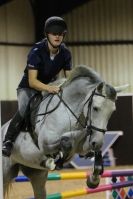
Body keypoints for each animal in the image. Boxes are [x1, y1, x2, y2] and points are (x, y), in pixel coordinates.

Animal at [2, 65, 117, 199]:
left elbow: (91, 154)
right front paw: (54, 161)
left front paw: (93, 180)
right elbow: (66, 142)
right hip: (5, 172)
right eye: (95, 108)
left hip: (36, 174)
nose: (97, 142)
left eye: (112, 111)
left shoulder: (83, 146)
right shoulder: (46, 142)